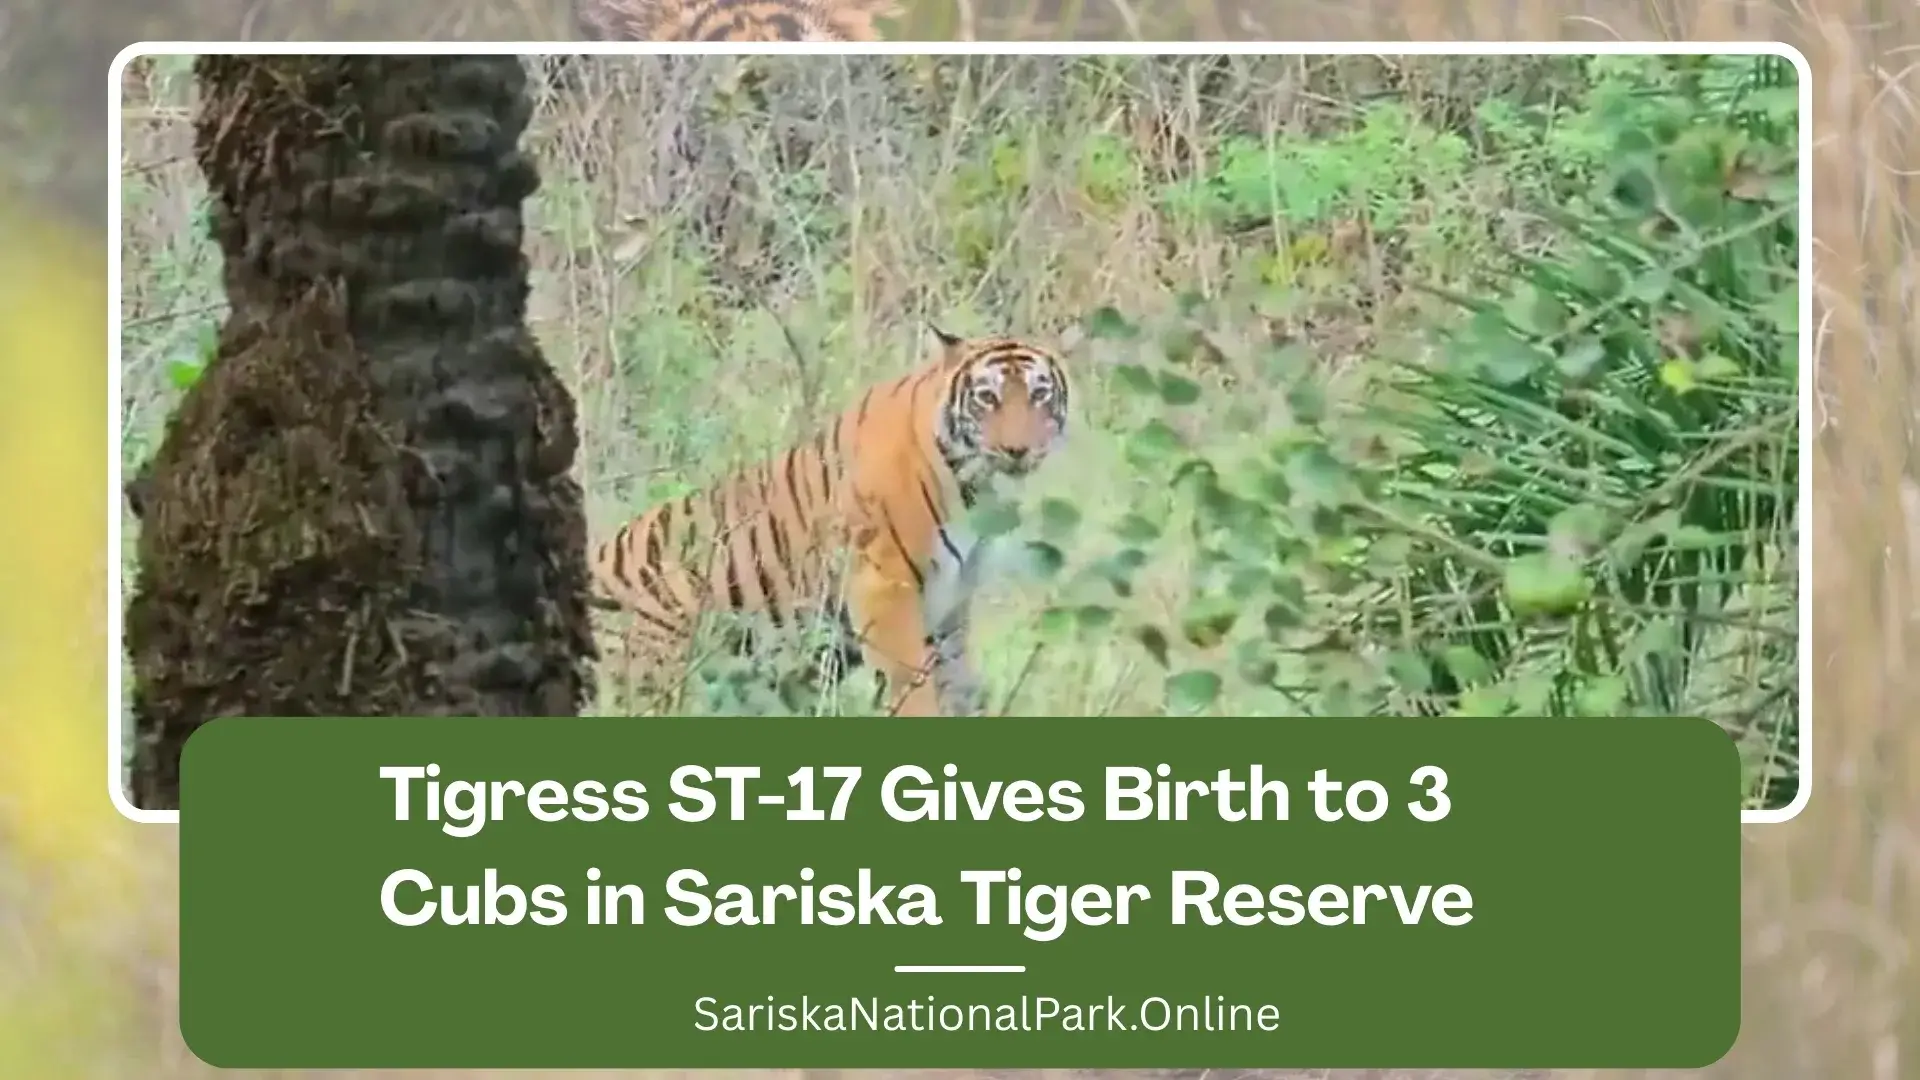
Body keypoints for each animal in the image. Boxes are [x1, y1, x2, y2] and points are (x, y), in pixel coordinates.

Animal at [590, 325, 1071, 717]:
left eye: (1039, 394)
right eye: (987, 397)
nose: (1017, 450)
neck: (975, 484)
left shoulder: (952, 599)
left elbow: (959, 681)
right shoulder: (886, 586)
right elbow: (911, 685)